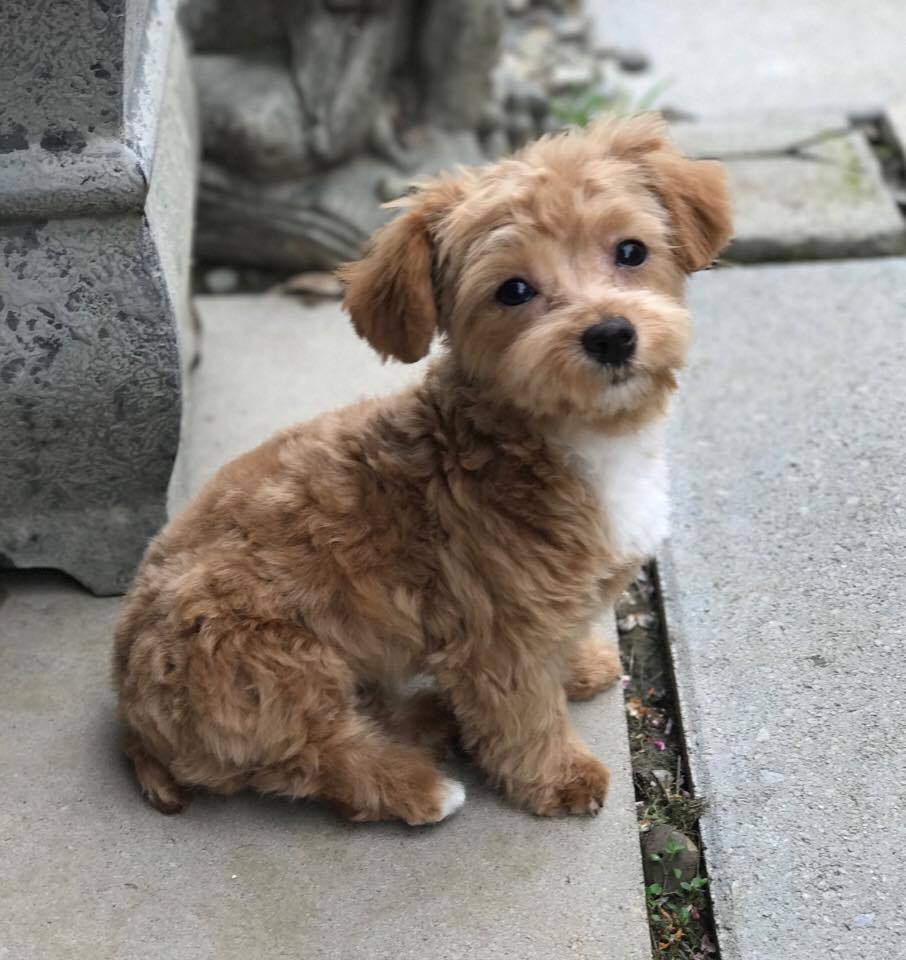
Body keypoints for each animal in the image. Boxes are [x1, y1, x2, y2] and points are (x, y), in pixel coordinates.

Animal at [113, 114, 732, 824]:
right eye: (513, 291)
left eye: (631, 251)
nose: (611, 334)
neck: (576, 442)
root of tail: (134, 719)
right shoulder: (499, 637)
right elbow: (525, 716)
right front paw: (557, 775)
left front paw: (577, 667)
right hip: (267, 662)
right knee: (316, 758)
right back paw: (418, 786)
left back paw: (427, 716)